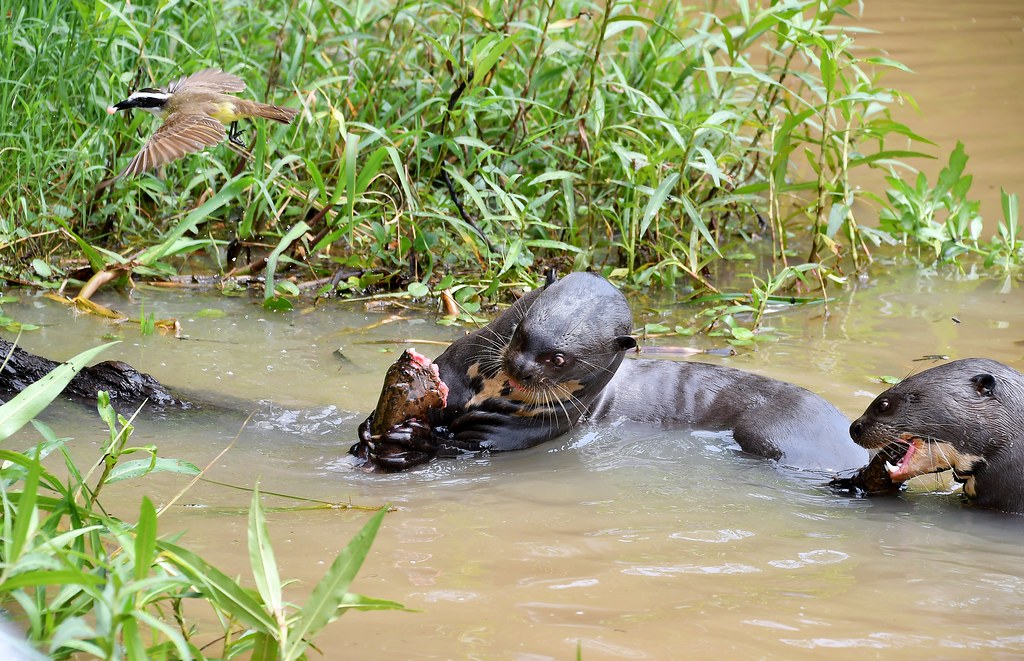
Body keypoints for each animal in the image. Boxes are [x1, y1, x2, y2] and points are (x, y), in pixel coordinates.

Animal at [352, 272, 864, 474]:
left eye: (559, 359)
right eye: (521, 329)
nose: (518, 366)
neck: (487, 393)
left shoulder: (517, 433)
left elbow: (460, 447)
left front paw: (407, 442)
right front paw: (373, 430)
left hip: (771, 431)